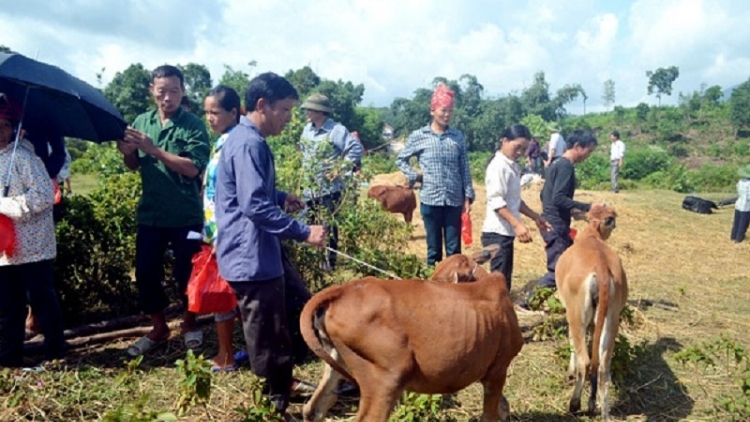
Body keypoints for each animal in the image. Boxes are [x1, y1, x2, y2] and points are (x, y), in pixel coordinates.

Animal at [300, 262, 524, 420]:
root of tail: (344, 290)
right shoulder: (498, 370)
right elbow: (492, 414)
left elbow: (503, 407)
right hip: (387, 378)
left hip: (336, 363)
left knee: (315, 408)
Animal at [560, 203, 628, 420]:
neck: (591, 235)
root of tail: (602, 270)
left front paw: (570, 372)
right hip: (611, 318)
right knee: (603, 366)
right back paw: (601, 411)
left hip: (577, 314)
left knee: (585, 360)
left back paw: (574, 404)